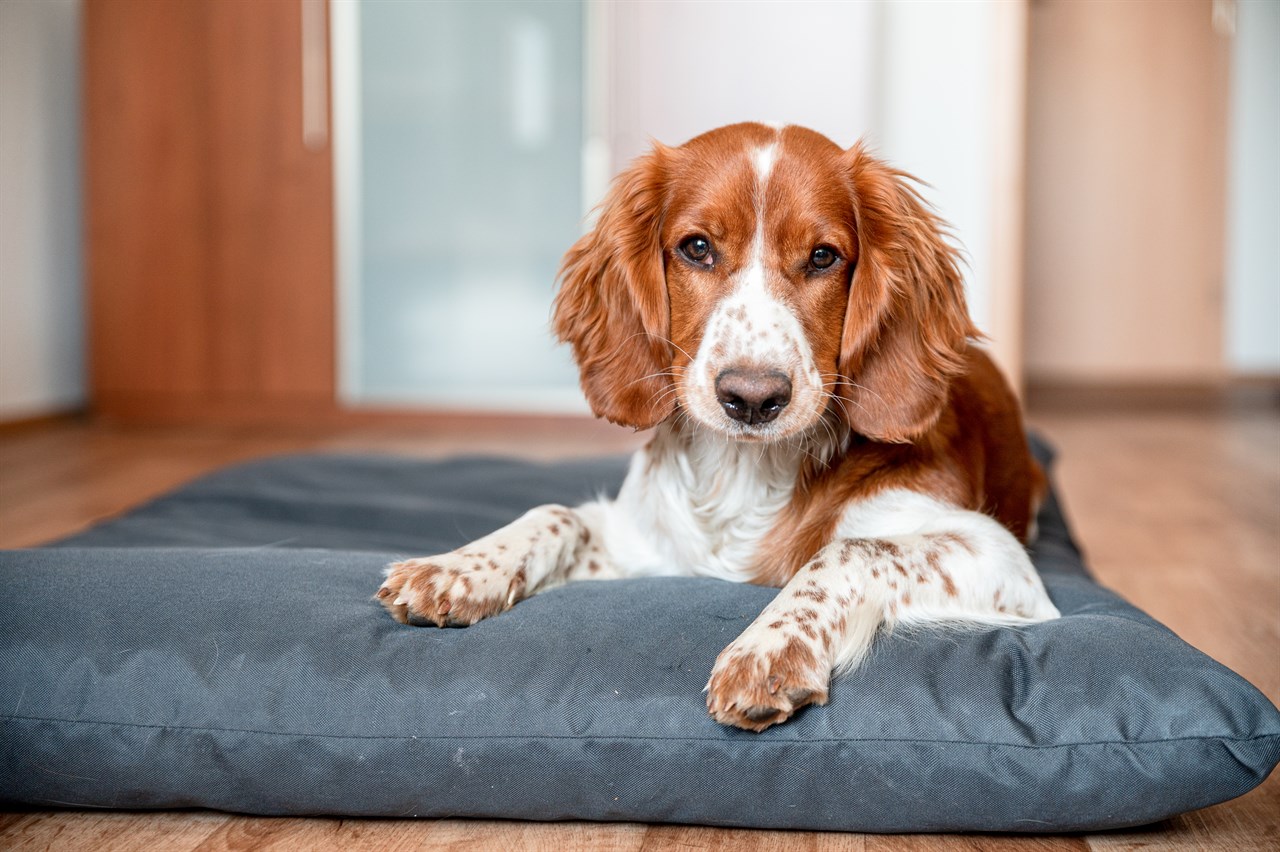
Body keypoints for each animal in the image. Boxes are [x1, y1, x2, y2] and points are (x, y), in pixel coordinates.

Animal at [378, 120, 1059, 731]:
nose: (753, 398)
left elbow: (848, 548)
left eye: (823, 257)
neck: (743, 474)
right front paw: (458, 569)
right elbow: (556, 513)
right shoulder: (648, 549)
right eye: (697, 247)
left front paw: (769, 648)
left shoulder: (1002, 560)